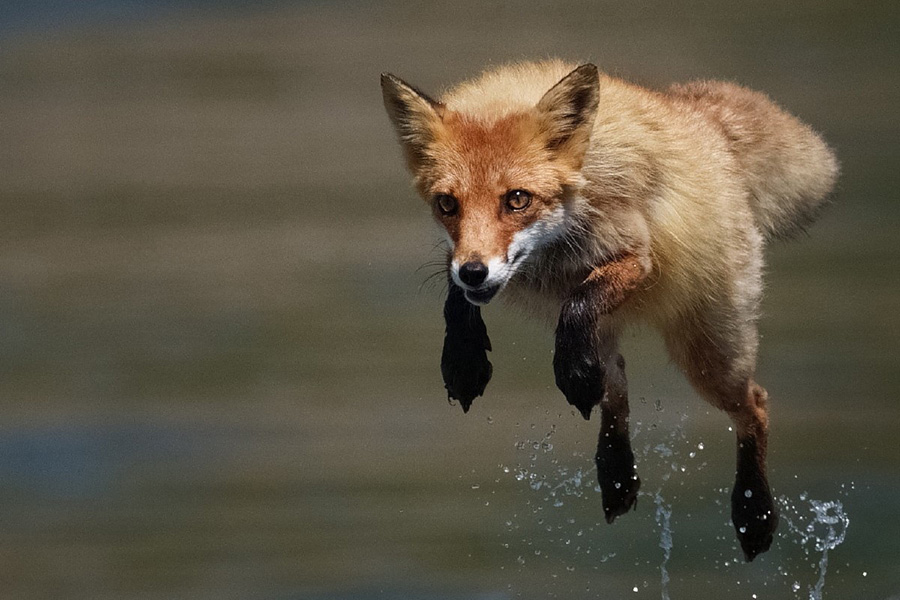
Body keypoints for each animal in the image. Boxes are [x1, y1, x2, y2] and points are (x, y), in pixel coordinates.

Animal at [378, 61, 836, 564]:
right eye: (447, 204)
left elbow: (579, 303)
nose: (475, 273)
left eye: (517, 199)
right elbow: (454, 301)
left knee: (754, 404)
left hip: (709, 354)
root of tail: (707, 123)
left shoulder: (636, 256)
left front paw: (568, 374)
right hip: (632, 340)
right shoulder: (459, 261)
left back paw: (753, 514)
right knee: (616, 381)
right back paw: (616, 471)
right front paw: (464, 361)